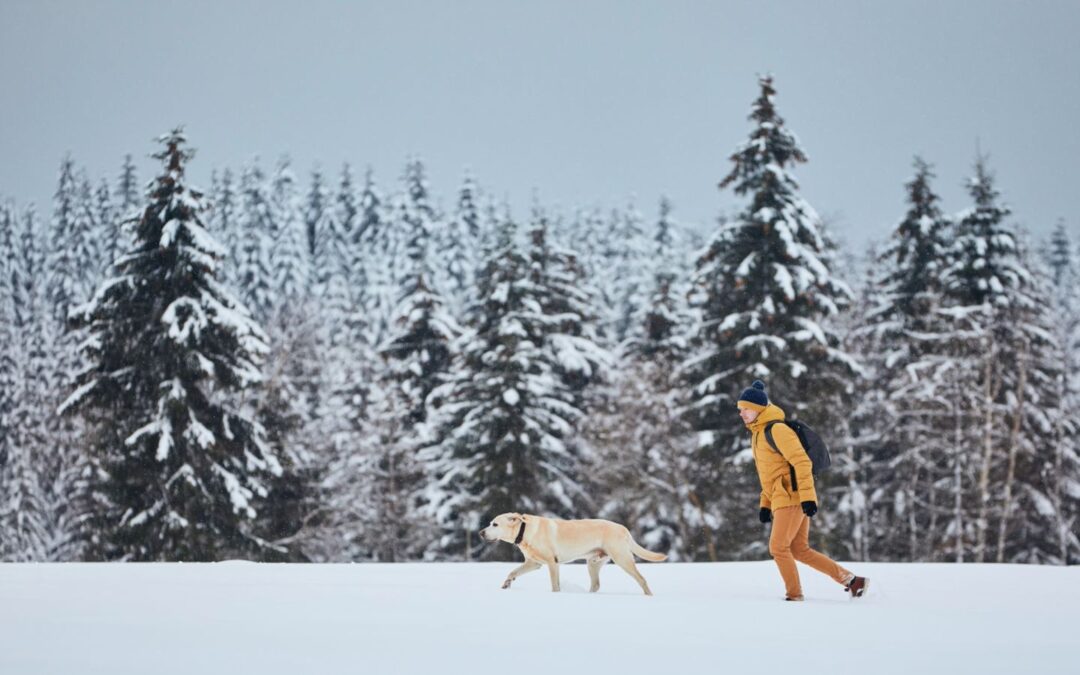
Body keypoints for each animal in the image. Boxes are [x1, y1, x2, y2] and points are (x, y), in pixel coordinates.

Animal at [481, 514, 665, 591]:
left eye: (495, 524)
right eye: (490, 523)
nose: (480, 533)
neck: (524, 531)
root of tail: (623, 528)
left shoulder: (552, 563)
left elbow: (555, 586)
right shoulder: (533, 563)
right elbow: (513, 571)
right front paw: (507, 583)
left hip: (622, 559)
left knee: (642, 580)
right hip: (593, 563)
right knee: (596, 585)